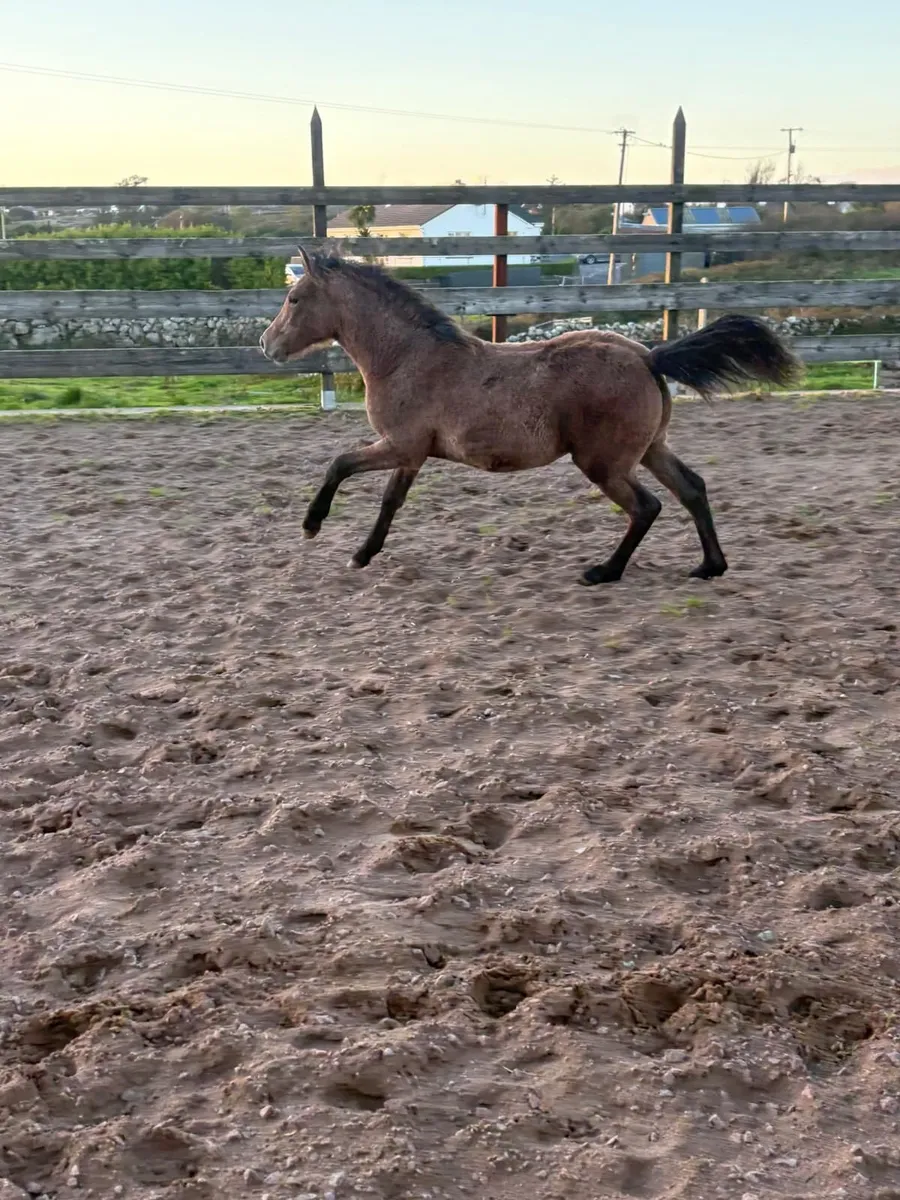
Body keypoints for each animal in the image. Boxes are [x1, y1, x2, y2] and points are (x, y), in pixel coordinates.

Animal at [259, 249, 800, 584]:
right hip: (649, 449)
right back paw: (710, 566)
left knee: (647, 507)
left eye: (294, 298)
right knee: (692, 488)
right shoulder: (412, 454)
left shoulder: (399, 444)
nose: (266, 344)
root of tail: (648, 357)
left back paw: (603, 572)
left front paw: (312, 526)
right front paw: (362, 554)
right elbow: (391, 502)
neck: (408, 357)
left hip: (603, 462)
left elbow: (340, 464)